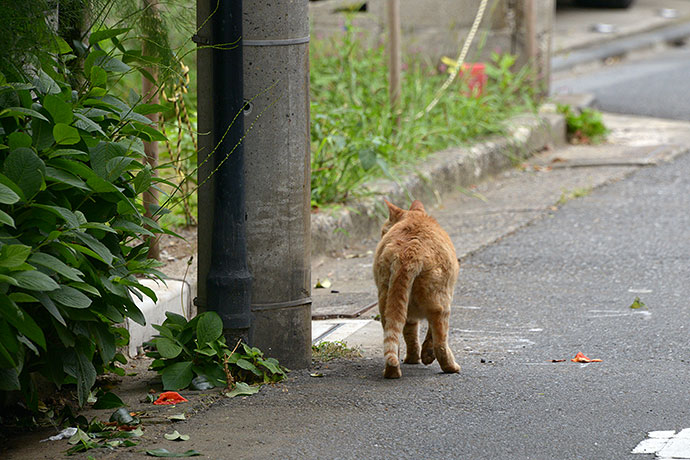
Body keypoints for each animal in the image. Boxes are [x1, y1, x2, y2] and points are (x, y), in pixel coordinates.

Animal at [370, 199, 456, 380]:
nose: (381, 234)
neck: (416, 217)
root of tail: (409, 252)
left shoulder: (408, 314)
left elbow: (410, 335)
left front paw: (413, 358)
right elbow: (428, 336)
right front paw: (425, 356)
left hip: (386, 301)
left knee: (392, 337)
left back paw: (392, 371)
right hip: (441, 305)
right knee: (440, 343)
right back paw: (451, 368)